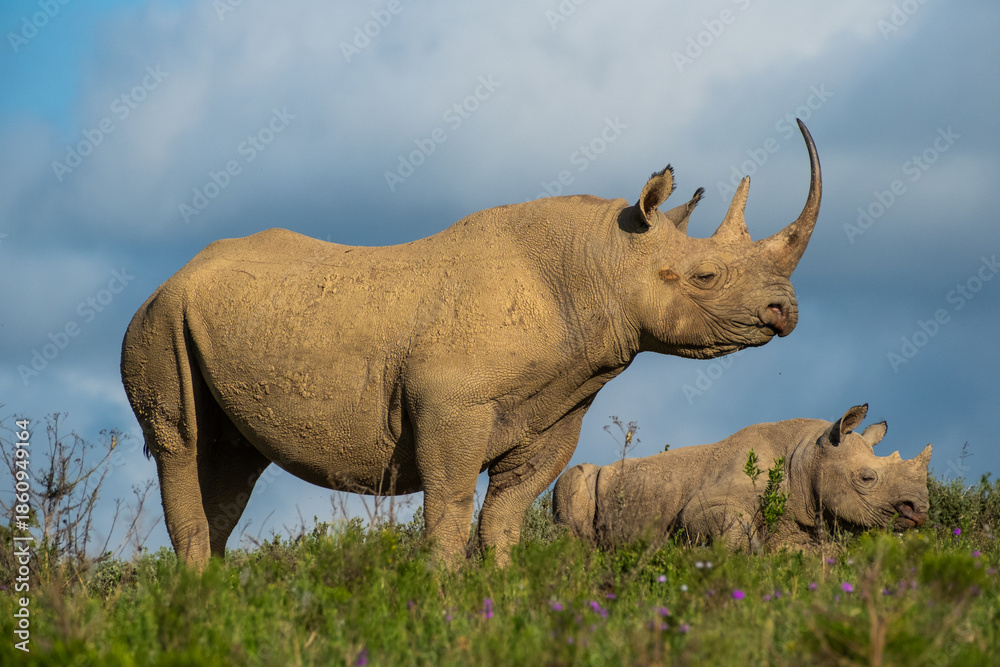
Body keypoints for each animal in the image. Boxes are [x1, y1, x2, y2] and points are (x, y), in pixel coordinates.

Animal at [121, 121, 821, 568]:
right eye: (706, 277)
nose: (785, 312)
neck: (600, 262)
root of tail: (169, 278)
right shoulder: (449, 404)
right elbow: (451, 505)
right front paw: (443, 595)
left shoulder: (559, 407)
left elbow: (506, 515)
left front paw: (505, 599)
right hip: (157, 323)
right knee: (181, 445)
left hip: (205, 320)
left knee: (231, 466)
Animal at [553, 404, 932, 551]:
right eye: (867, 479)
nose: (919, 511)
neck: (808, 456)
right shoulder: (705, 503)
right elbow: (725, 523)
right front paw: (741, 553)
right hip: (576, 483)